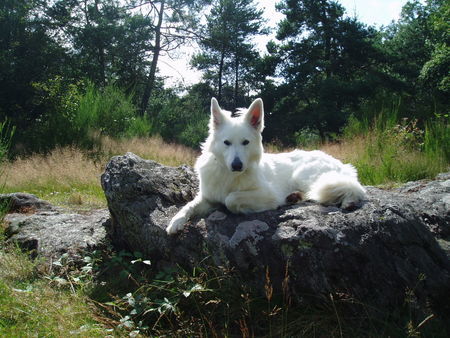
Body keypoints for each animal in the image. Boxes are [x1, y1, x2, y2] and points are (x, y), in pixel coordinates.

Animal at [166, 97, 366, 235]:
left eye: (245, 142)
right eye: (227, 143)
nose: (237, 165)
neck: (230, 176)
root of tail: (340, 162)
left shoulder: (268, 194)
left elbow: (231, 199)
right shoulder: (207, 197)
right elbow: (188, 206)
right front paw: (175, 222)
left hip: (306, 176)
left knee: (354, 188)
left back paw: (348, 201)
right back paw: (295, 197)